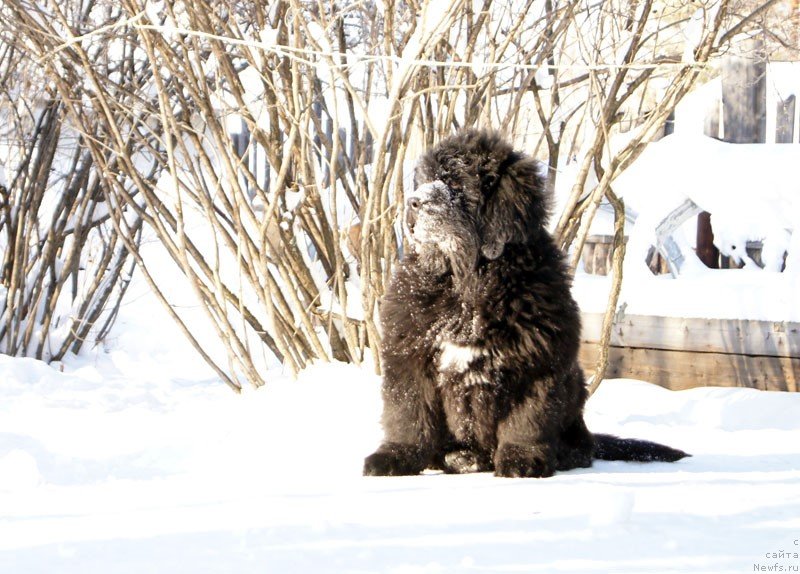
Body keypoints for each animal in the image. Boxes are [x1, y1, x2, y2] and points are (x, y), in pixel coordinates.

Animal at [362, 128, 688, 480]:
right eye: (425, 179)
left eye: (456, 183)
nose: (412, 202)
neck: (468, 282)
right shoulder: (411, 352)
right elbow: (409, 412)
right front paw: (395, 457)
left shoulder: (536, 360)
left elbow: (527, 419)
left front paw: (521, 460)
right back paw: (458, 457)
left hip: (573, 386)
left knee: (580, 443)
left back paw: (563, 454)